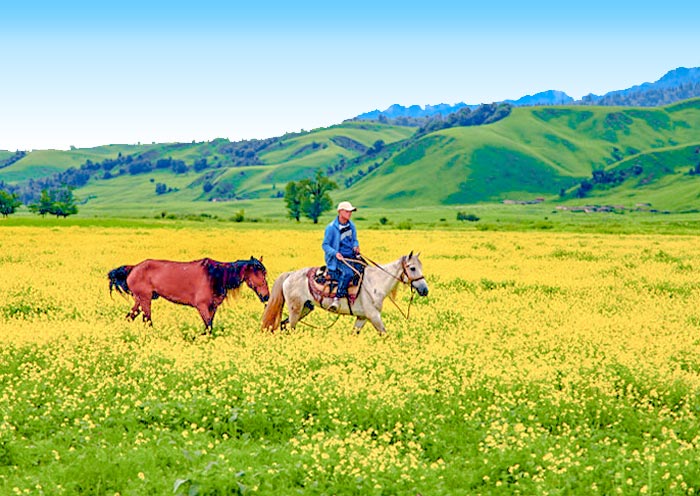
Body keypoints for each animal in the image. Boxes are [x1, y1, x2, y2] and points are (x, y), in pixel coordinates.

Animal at [108, 256, 270, 334]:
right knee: (147, 320)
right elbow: (208, 326)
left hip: (140, 300)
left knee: (130, 317)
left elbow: (209, 327)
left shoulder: (212, 308)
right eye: (260, 274)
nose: (266, 296)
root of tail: (134, 268)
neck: (215, 276)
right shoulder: (202, 306)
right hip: (145, 300)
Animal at [262, 254, 430, 336]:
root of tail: (290, 275)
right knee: (290, 327)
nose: (425, 290)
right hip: (295, 309)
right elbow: (384, 334)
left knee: (284, 325)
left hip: (305, 308)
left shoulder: (362, 317)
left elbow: (354, 334)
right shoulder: (374, 315)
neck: (376, 282)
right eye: (412, 268)